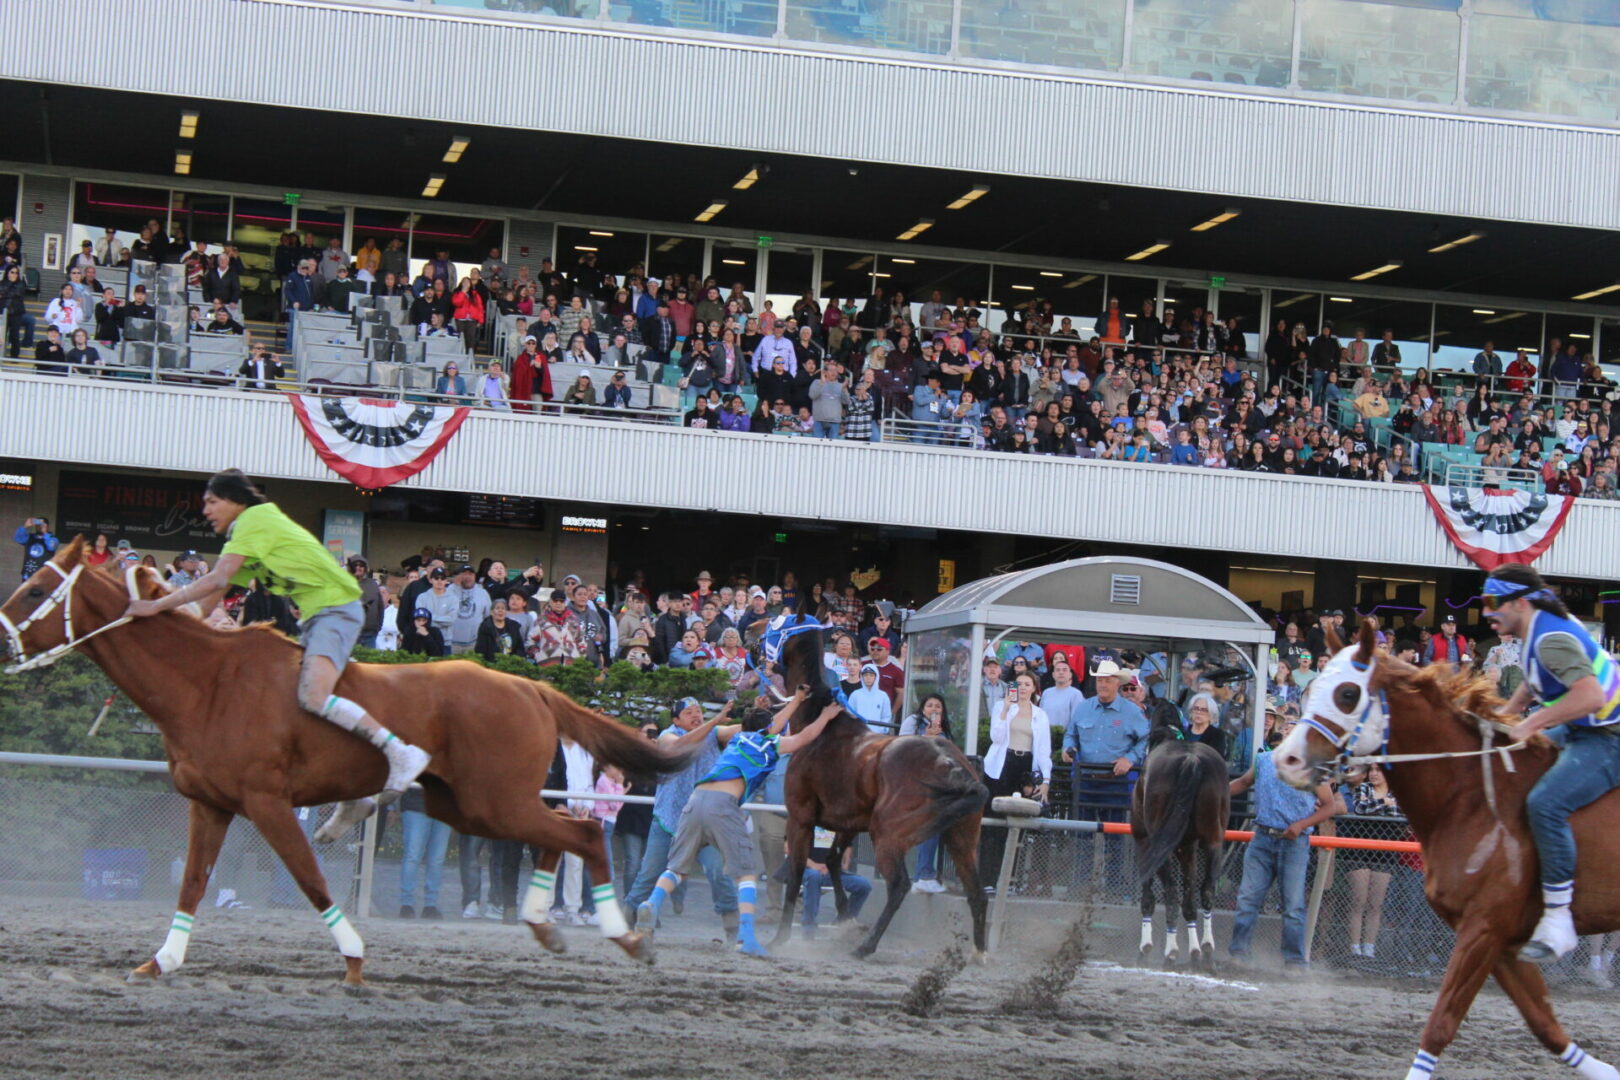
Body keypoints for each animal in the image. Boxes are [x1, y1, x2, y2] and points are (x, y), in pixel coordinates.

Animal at [0, 539, 701, 984]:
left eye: (34, 588)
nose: (3, 642)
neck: (209, 682)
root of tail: (530, 687)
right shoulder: (212, 804)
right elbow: (194, 881)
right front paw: (162, 961)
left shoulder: (266, 801)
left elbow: (309, 878)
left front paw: (355, 957)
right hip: (470, 807)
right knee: (561, 835)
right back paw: (544, 922)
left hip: (492, 800)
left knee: (580, 833)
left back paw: (626, 936)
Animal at [758, 616, 990, 958]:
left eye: (777, 621)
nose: (750, 631)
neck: (821, 729)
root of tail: (952, 764)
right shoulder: (849, 822)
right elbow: (831, 860)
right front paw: (845, 919)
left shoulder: (801, 817)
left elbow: (798, 870)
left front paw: (780, 938)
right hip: (961, 839)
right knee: (977, 892)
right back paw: (979, 952)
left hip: (889, 837)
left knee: (900, 886)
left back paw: (867, 946)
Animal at [1131, 700, 1230, 968]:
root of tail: (1191, 760)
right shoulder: (1189, 848)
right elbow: (1189, 900)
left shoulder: (1144, 843)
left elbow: (1149, 898)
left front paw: (1146, 947)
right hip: (1213, 840)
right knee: (1205, 891)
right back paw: (1205, 949)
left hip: (1159, 847)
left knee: (1171, 895)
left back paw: (1171, 951)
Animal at [1275, 618, 1620, 1080]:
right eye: (1310, 688)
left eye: (1347, 693)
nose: (1286, 760)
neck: (1471, 796)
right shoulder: (1504, 941)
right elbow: (1544, 1024)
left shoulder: (1483, 928)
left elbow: (1441, 1023)